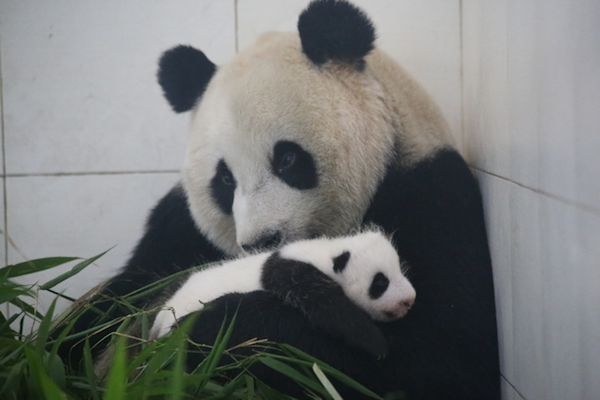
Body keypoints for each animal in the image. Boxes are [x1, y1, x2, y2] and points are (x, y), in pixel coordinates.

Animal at [62, 1, 502, 398]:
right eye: (225, 179)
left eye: (287, 159)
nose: (261, 241)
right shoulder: (179, 229)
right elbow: (117, 300)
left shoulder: (432, 195)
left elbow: (440, 356)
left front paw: (213, 329)